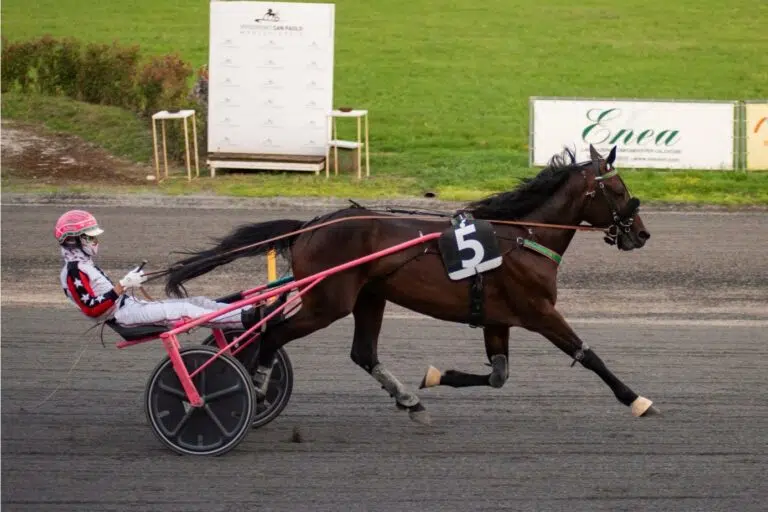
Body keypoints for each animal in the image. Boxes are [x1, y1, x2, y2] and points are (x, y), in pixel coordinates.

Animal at [165, 145, 656, 424]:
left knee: (361, 352)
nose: (642, 233)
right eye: (617, 189)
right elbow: (588, 355)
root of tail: (309, 226)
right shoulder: (539, 311)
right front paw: (635, 398)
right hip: (327, 301)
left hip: (369, 297)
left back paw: (407, 399)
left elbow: (498, 375)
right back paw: (255, 389)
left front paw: (437, 377)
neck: (523, 236)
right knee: (270, 331)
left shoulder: (498, 318)